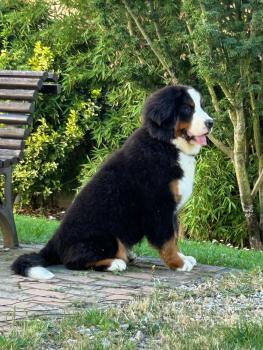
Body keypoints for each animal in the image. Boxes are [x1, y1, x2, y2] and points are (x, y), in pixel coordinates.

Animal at [11, 85, 214, 278]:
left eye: (200, 106)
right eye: (187, 108)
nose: (211, 123)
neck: (165, 144)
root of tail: (54, 242)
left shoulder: (171, 210)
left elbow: (174, 237)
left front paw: (182, 257)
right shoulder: (158, 207)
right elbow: (168, 240)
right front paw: (178, 263)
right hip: (106, 236)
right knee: (73, 261)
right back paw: (116, 262)